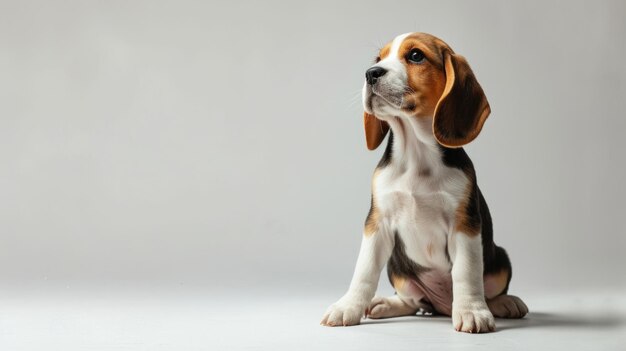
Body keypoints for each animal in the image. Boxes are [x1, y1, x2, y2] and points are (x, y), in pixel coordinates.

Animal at [320, 32, 524, 332]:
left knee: (489, 290)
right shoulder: (377, 223)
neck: (415, 154)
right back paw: (385, 304)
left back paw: (504, 303)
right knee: (412, 302)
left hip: (501, 260)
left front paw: (472, 311)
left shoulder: (464, 225)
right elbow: (364, 270)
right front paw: (348, 307)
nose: (370, 73)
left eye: (416, 56)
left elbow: (466, 273)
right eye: (379, 58)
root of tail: (440, 307)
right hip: (397, 268)